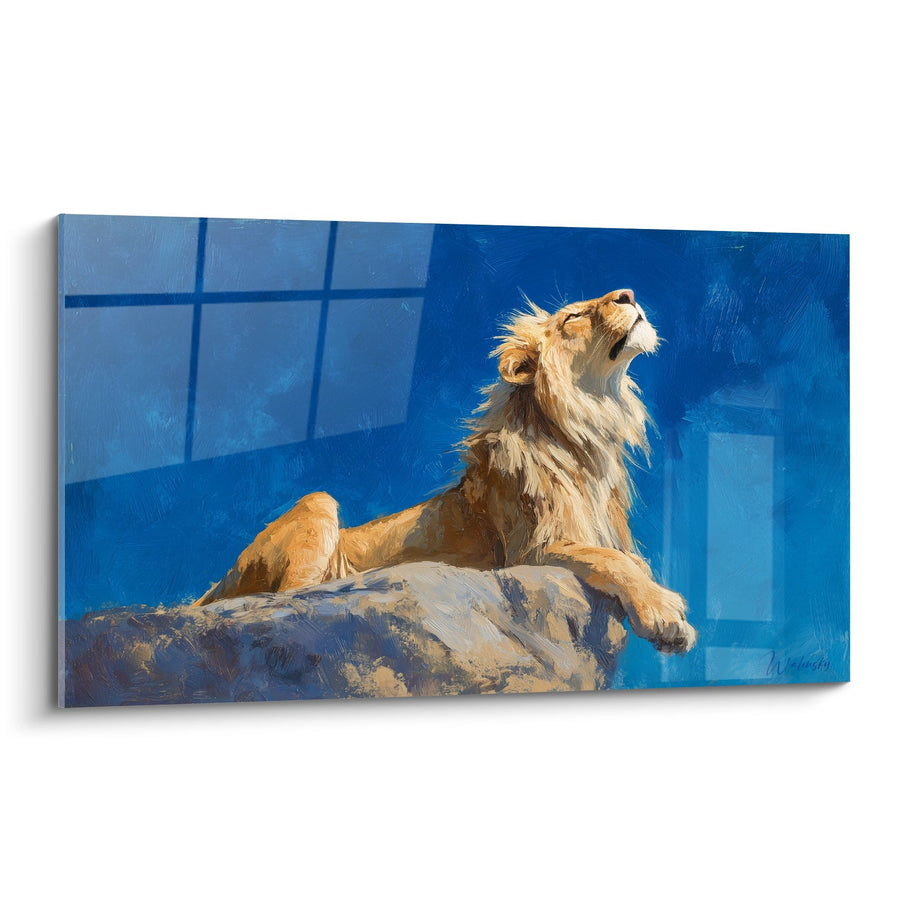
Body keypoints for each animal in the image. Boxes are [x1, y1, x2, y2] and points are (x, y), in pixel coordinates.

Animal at [194, 288, 697, 655]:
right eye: (572, 317)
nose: (628, 294)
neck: (587, 434)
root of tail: (211, 588)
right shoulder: (526, 552)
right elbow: (611, 559)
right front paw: (665, 614)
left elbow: (629, 559)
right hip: (318, 504)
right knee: (288, 600)